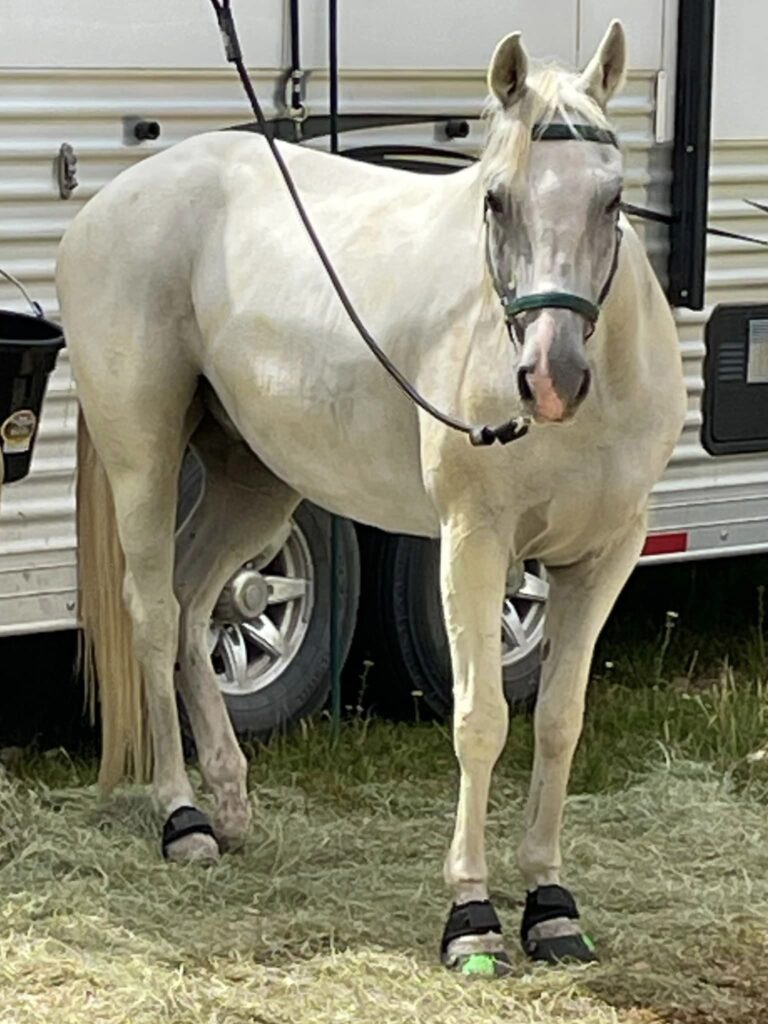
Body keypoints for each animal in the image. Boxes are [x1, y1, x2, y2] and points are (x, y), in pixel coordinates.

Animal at [58, 19, 684, 970]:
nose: (549, 377)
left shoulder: (604, 555)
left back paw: (232, 801)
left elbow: (559, 722)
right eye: (496, 200)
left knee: (201, 603)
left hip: (255, 479)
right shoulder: (472, 544)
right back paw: (184, 817)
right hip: (144, 456)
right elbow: (480, 720)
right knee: (156, 614)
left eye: (612, 201)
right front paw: (472, 915)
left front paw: (551, 905)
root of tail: (108, 205)